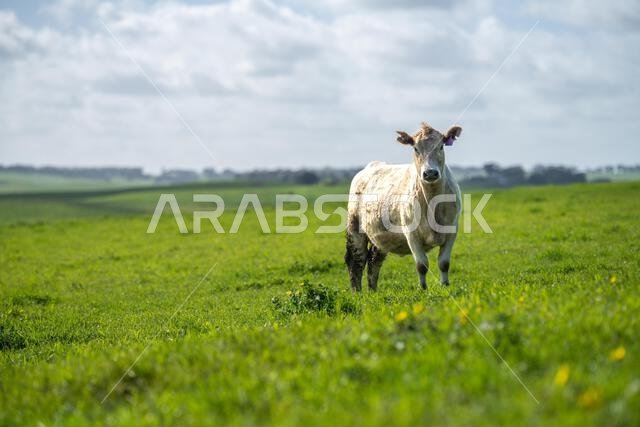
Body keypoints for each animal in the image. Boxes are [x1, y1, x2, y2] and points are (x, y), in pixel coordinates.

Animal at [345, 121, 463, 291]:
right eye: (415, 148)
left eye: (441, 146)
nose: (430, 173)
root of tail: (371, 166)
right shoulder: (411, 233)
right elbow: (422, 265)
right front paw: (423, 289)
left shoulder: (452, 230)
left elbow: (444, 263)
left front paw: (445, 286)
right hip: (354, 227)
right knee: (356, 260)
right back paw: (357, 293)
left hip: (380, 235)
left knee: (374, 261)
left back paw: (373, 291)